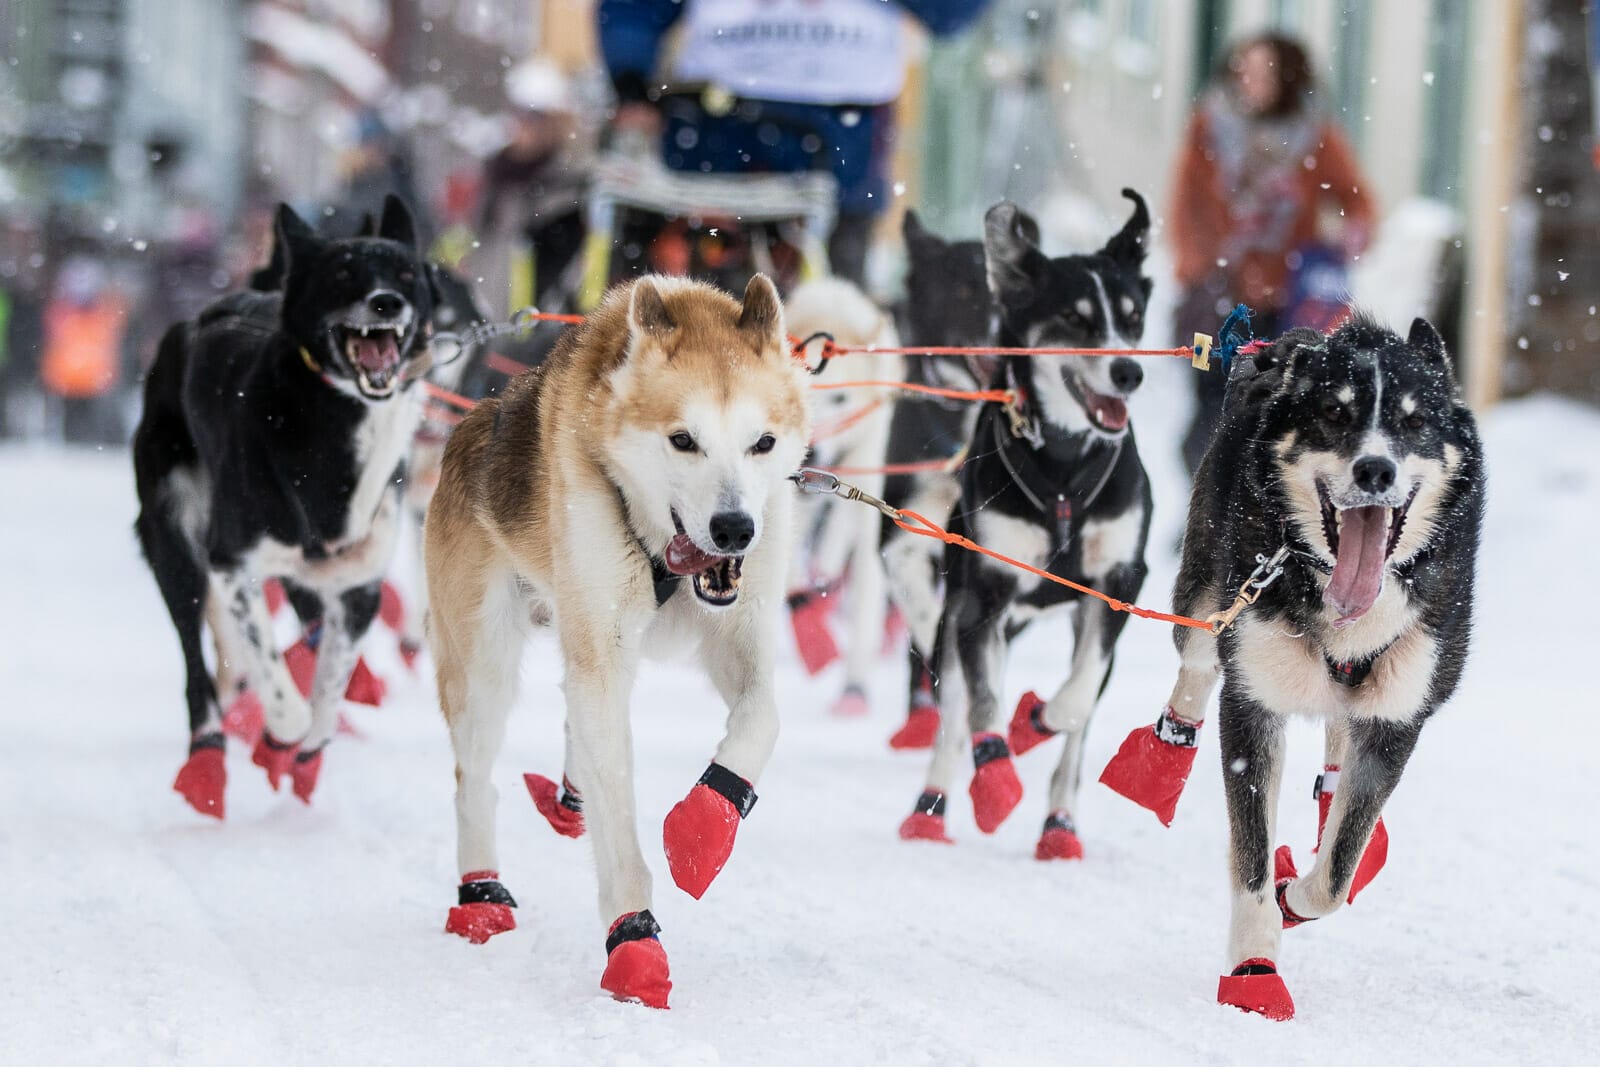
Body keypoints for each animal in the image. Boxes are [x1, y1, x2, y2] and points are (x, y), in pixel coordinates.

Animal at [135, 194, 438, 819]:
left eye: (405, 274)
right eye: (343, 273)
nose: (386, 302)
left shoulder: (358, 586)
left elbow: (327, 692)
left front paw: (303, 753)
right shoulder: (234, 565)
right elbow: (286, 696)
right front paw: (277, 738)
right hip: (175, 539)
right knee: (195, 660)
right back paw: (206, 755)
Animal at [902, 191, 1152, 857]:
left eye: (1132, 317)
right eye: (1073, 317)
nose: (1129, 371)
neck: (1063, 468)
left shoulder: (1119, 583)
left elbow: (1077, 697)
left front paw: (1035, 722)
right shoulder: (983, 593)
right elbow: (982, 704)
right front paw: (994, 780)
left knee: (1074, 732)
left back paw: (1059, 825)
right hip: (960, 610)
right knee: (954, 711)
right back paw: (931, 810)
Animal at [1164, 321, 1484, 1023]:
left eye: (1414, 422)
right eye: (1335, 414)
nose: (1375, 468)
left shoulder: (1397, 721)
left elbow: (1337, 870)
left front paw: (1296, 895)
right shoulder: (1251, 705)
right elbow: (1253, 860)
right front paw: (1255, 968)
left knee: (1342, 751)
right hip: (1203, 602)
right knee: (1195, 666)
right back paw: (1160, 757)